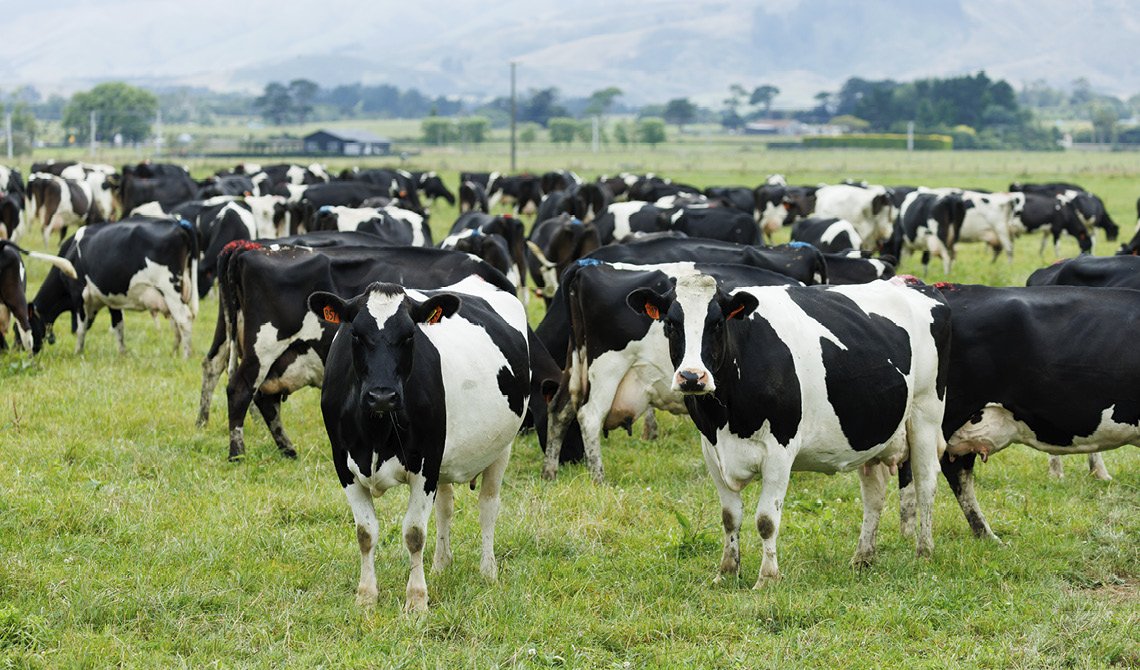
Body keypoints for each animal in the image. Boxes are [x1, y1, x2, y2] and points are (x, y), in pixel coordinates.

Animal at [28, 217, 199, 357]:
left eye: (27, 325)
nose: (29, 352)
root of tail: (179, 225)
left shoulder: (79, 294)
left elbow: (81, 328)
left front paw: (77, 352)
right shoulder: (111, 299)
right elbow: (118, 326)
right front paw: (123, 354)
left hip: (170, 290)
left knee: (184, 319)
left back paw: (186, 357)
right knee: (177, 324)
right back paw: (174, 353)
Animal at [309, 275, 530, 611]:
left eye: (410, 335)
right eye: (356, 334)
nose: (382, 395)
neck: (376, 433)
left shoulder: (425, 464)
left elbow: (414, 533)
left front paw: (416, 600)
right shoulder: (343, 465)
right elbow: (365, 533)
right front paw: (366, 596)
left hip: (500, 448)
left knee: (488, 506)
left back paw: (488, 571)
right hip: (445, 460)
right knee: (445, 508)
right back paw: (440, 564)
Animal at [625, 275, 950, 584]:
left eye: (717, 323)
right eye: (670, 323)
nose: (692, 377)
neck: (725, 418)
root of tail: (917, 286)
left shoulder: (780, 450)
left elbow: (766, 520)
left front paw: (768, 578)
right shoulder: (712, 450)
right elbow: (730, 517)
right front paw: (727, 572)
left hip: (925, 414)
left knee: (926, 483)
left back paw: (924, 553)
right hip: (872, 430)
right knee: (874, 493)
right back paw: (863, 558)